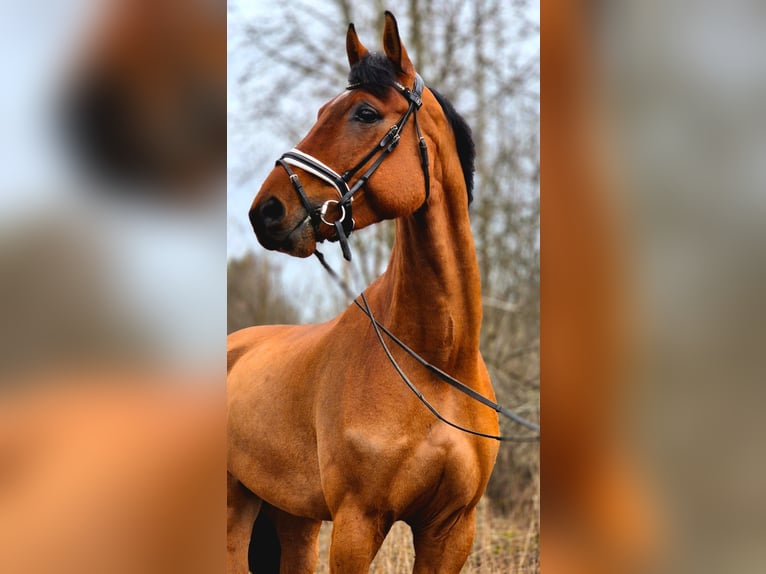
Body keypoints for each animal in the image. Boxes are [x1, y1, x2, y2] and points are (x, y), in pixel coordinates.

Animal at [226, 13, 504, 574]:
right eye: (320, 112)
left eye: (366, 113)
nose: (265, 212)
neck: (434, 363)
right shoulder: (358, 522)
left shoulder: (451, 531)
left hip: (292, 519)